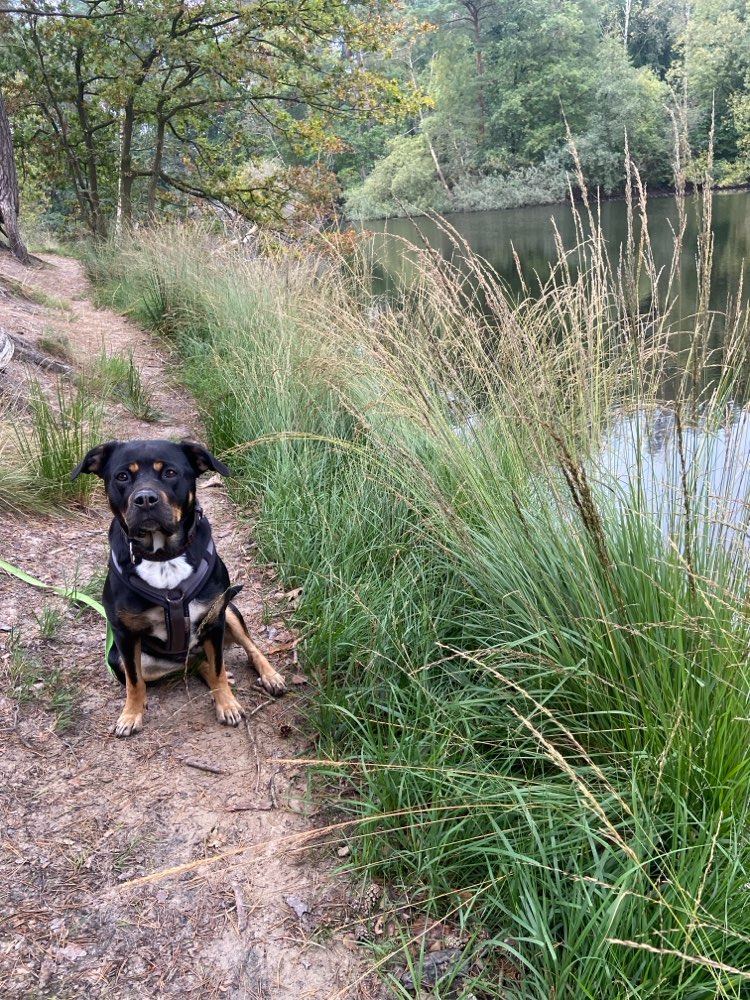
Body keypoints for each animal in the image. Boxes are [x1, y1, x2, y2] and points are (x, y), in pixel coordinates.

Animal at [72, 442, 286, 740]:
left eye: (170, 473)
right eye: (122, 476)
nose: (145, 499)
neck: (163, 556)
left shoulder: (215, 619)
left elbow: (219, 668)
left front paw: (227, 704)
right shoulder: (124, 635)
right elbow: (134, 683)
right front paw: (131, 715)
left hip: (230, 611)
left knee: (247, 649)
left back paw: (270, 676)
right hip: (119, 658)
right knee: (191, 664)